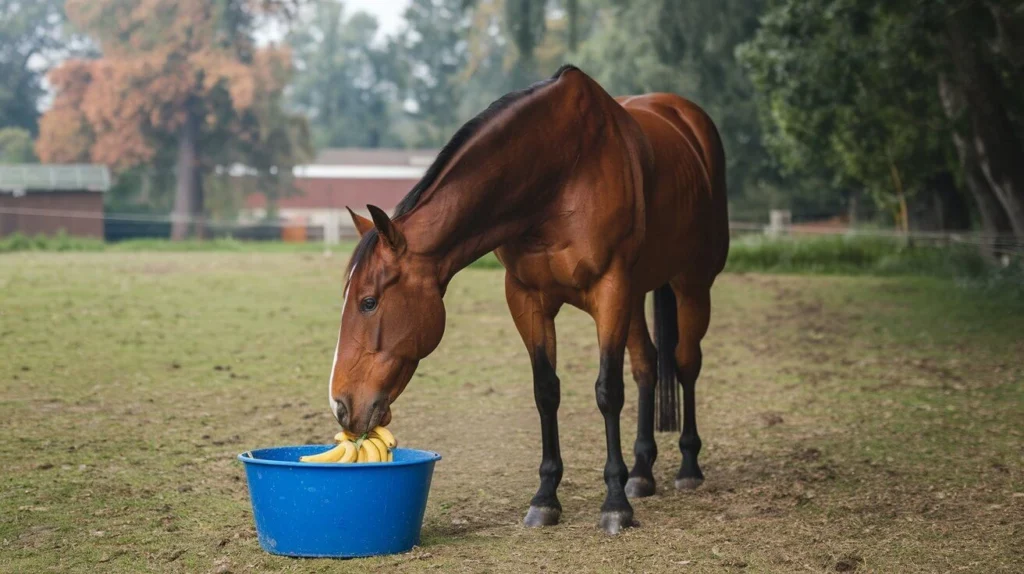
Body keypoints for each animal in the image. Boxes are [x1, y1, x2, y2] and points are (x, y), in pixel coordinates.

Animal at [327, 65, 729, 532]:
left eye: (369, 302)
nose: (341, 405)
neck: (560, 173)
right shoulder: (527, 297)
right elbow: (546, 390)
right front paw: (546, 498)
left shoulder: (611, 289)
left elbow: (608, 391)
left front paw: (614, 504)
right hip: (637, 294)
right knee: (647, 365)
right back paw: (642, 473)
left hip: (690, 284)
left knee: (685, 362)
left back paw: (687, 467)